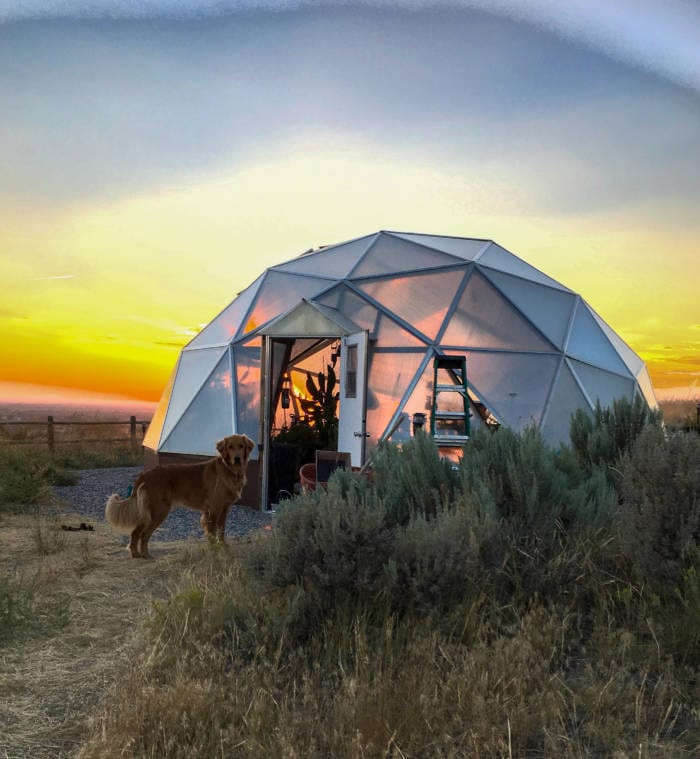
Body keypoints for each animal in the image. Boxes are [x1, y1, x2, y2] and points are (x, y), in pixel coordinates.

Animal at [105, 434, 256, 560]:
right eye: (230, 447)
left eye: (241, 446)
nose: (237, 459)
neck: (230, 471)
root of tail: (146, 474)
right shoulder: (214, 508)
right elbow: (212, 531)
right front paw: (214, 549)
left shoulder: (224, 508)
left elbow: (221, 530)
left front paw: (222, 546)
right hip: (159, 511)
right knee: (144, 534)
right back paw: (146, 555)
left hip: (149, 512)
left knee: (135, 532)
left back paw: (136, 554)